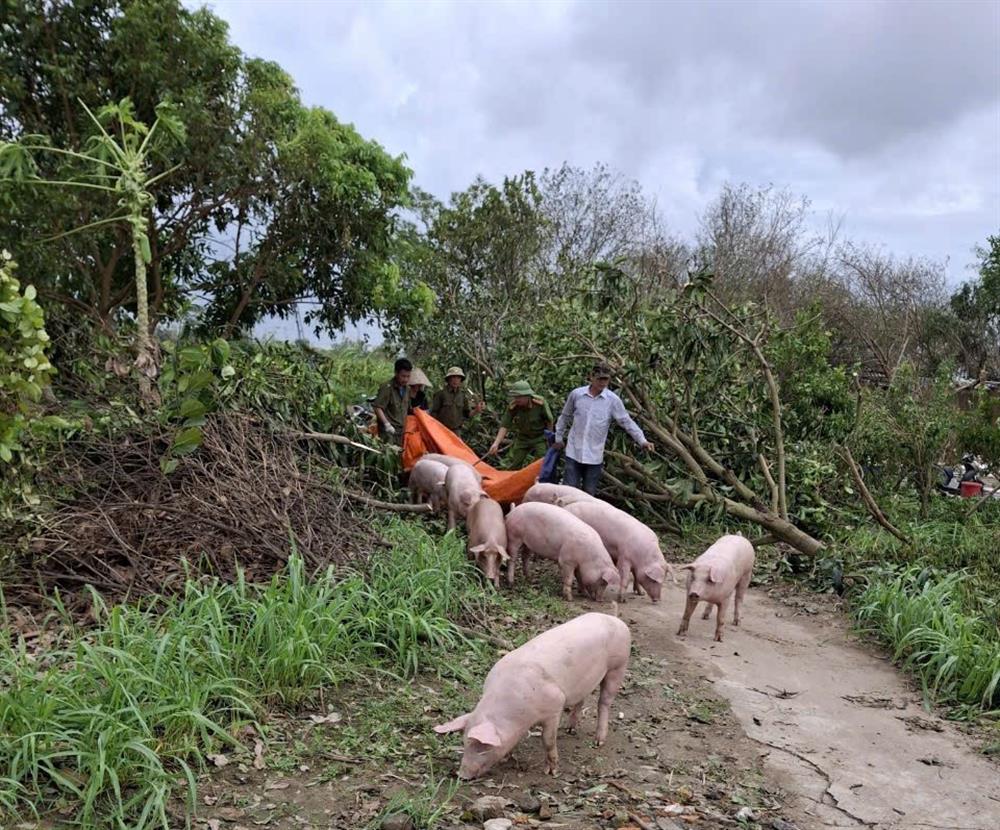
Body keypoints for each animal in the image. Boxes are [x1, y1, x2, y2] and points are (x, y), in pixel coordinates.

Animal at [434, 612, 628, 780]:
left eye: (483, 748)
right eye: (465, 743)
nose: (461, 775)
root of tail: (615, 619)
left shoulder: (555, 706)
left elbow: (548, 740)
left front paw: (551, 772)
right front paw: (507, 758)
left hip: (618, 666)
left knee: (604, 702)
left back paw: (598, 742)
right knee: (582, 699)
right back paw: (570, 729)